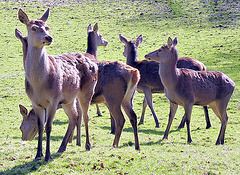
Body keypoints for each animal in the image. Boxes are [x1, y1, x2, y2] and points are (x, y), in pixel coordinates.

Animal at [17, 8, 98, 161]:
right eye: (34, 28)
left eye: (47, 27)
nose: (49, 37)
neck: (39, 84)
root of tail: (92, 61)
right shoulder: (35, 102)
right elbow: (40, 126)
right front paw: (38, 155)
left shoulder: (53, 100)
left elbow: (48, 127)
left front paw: (47, 155)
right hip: (68, 99)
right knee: (74, 116)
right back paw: (62, 147)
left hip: (87, 91)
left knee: (85, 116)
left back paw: (88, 145)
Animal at [17, 22, 141, 150]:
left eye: (21, 127)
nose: (24, 138)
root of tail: (135, 73)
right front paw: (74, 141)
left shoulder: (74, 99)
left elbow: (77, 118)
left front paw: (73, 142)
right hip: (127, 98)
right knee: (133, 116)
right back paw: (136, 145)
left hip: (113, 97)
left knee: (120, 119)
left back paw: (115, 144)